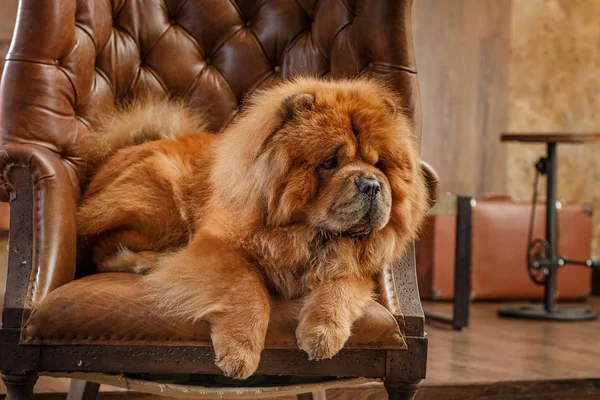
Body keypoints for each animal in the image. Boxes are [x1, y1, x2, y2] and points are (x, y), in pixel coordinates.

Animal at [77, 77, 428, 378]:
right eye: (330, 162)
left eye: (379, 164)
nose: (371, 185)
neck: (307, 236)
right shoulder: (216, 247)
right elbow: (248, 291)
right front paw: (239, 355)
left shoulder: (354, 265)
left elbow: (340, 286)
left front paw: (322, 335)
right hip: (163, 194)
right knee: (104, 249)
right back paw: (150, 263)